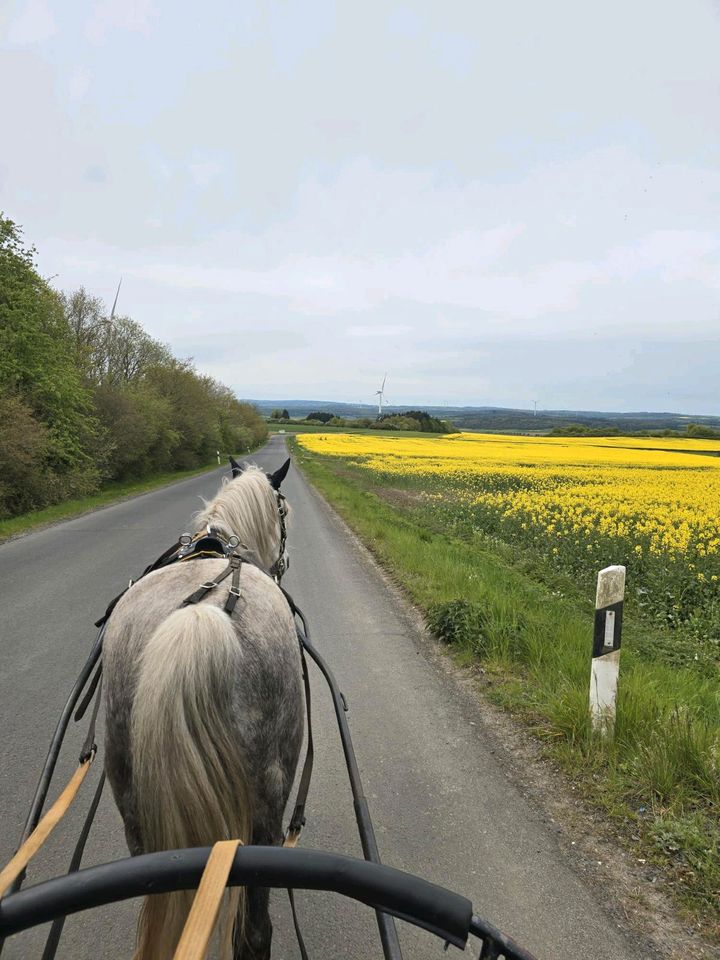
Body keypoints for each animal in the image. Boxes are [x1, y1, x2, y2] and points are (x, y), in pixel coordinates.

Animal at [102, 462, 302, 956]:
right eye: (284, 511)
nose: (286, 561)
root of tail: (201, 618)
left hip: (134, 806)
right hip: (266, 807)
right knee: (255, 930)